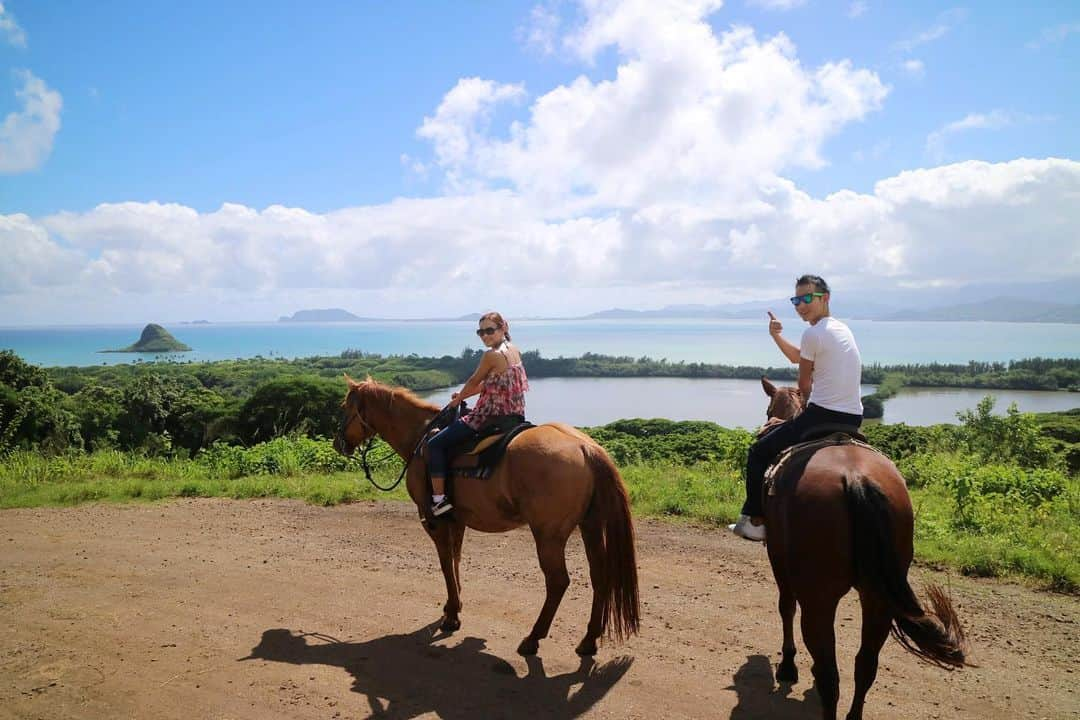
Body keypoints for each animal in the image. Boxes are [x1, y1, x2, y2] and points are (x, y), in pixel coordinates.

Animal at [332, 377, 635, 660]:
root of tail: (586, 448)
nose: (338, 443)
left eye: (345, 407)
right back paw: (588, 640)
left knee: (558, 582)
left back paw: (533, 639)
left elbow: (445, 563)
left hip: (548, 536)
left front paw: (452, 616)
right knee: (600, 576)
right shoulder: (457, 520)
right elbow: (455, 560)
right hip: (590, 526)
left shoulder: (433, 520)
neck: (421, 437)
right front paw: (452, 606)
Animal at [756, 379, 967, 716]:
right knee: (865, 665)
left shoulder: (777, 555)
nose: (767, 423)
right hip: (879, 598)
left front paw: (788, 666)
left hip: (820, 597)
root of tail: (856, 479)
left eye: (767, 410)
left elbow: (785, 606)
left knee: (829, 673)